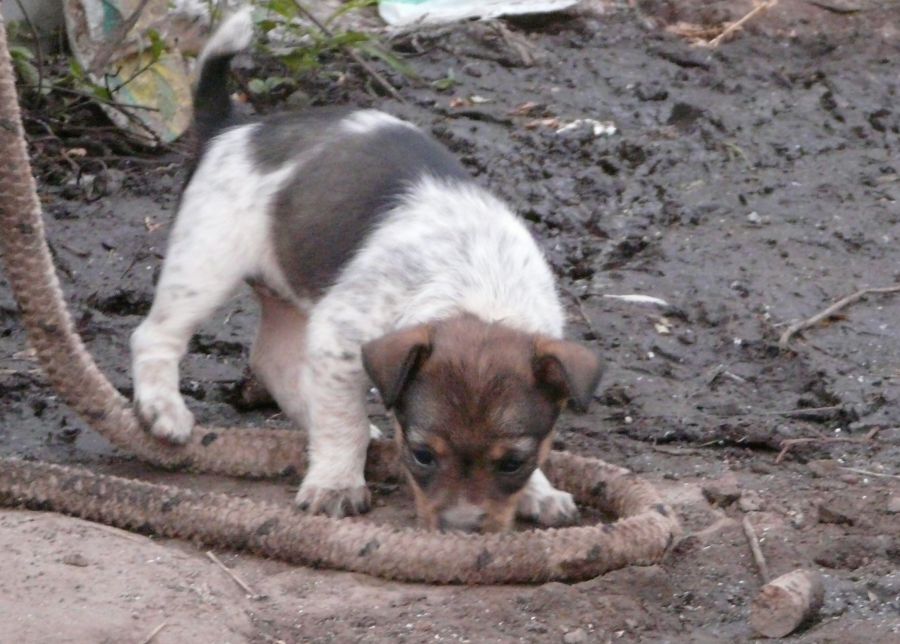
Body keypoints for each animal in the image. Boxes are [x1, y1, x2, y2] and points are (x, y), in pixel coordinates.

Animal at [130, 11, 600, 532]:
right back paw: (162, 409)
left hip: (289, 290)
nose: (460, 530)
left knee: (273, 362)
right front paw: (337, 484)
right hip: (205, 264)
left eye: (513, 462)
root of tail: (231, 128)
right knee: (156, 336)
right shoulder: (340, 340)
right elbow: (344, 423)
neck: (480, 290)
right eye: (422, 455)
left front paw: (540, 492)